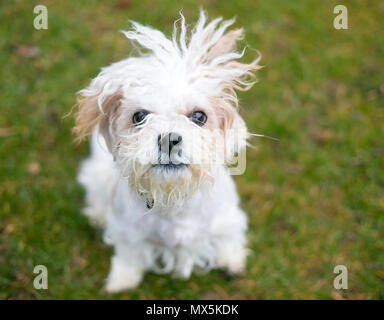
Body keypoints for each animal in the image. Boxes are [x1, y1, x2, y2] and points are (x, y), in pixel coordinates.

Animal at [73, 10, 260, 292]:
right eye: (139, 116)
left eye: (199, 116)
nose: (169, 139)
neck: (175, 203)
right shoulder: (128, 234)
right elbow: (128, 257)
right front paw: (122, 280)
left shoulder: (228, 219)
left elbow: (229, 239)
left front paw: (232, 261)